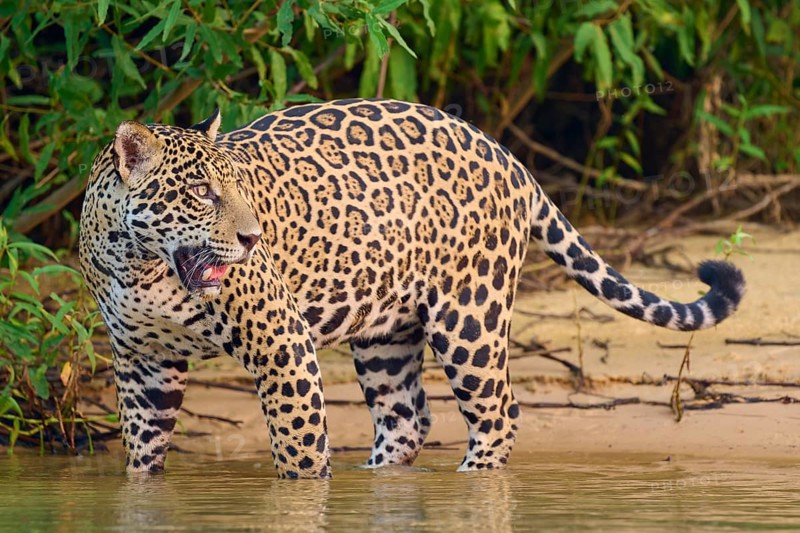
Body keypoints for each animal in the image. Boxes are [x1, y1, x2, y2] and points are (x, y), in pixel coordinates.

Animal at [79, 98, 745, 479]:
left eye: (237, 187)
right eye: (200, 192)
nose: (253, 236)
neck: (140, 267)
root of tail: (506, 154)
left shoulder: (282, 347)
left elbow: (299, 454)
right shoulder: (143, 364)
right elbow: (142, 457)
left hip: (471, 317)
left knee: (498, 411)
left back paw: (471, 478)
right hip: (385, 333)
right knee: (407, 417)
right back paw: (380, 478)